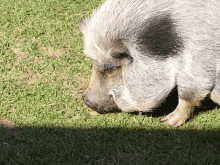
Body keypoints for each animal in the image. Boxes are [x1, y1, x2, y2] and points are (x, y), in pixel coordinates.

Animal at [79, 0, 220, 127]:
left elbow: (189, 95)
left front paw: (166, 122)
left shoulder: (198, 60)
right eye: (93, 63)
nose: (86, 99)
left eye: (112, 68)